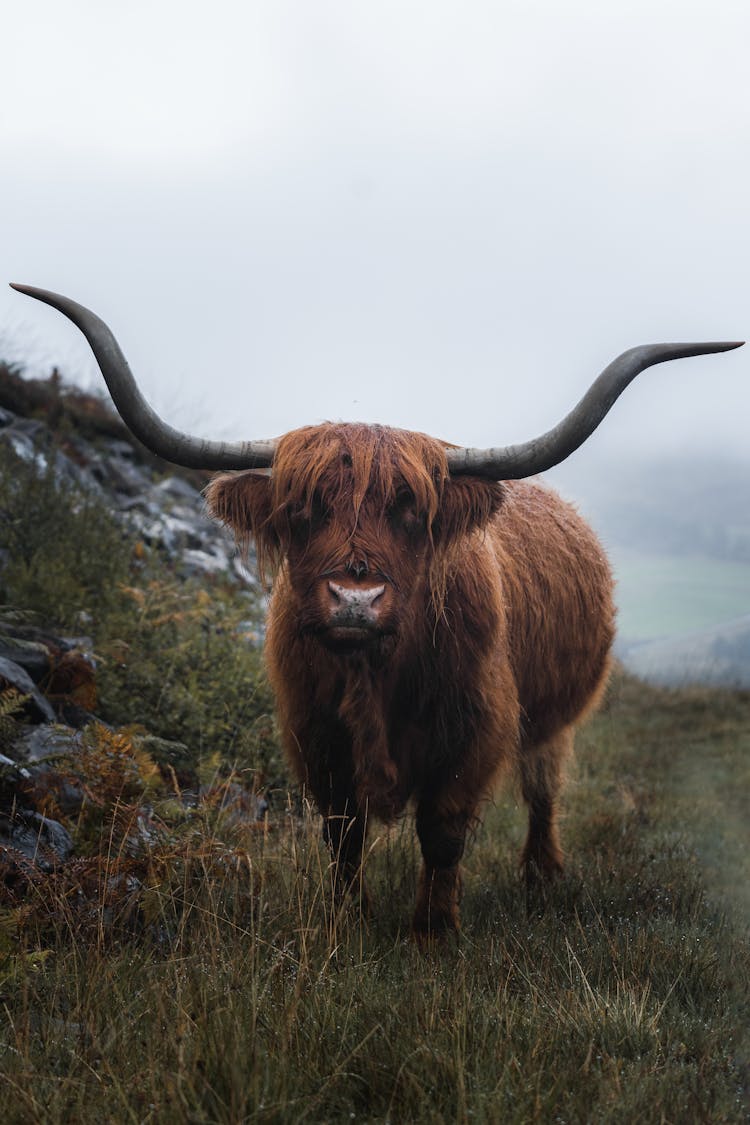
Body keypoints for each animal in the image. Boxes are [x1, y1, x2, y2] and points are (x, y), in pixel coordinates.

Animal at [11, 283, 746, 940]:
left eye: (410, 510)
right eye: (303, 508)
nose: (355, 600)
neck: (376, 673)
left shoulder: (474, 727)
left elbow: (443, 831)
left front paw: (433, 930)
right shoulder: (315, 732)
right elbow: (344, 832)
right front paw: (350, 920)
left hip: (554, 720)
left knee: (544, 789)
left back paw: (542, 876)